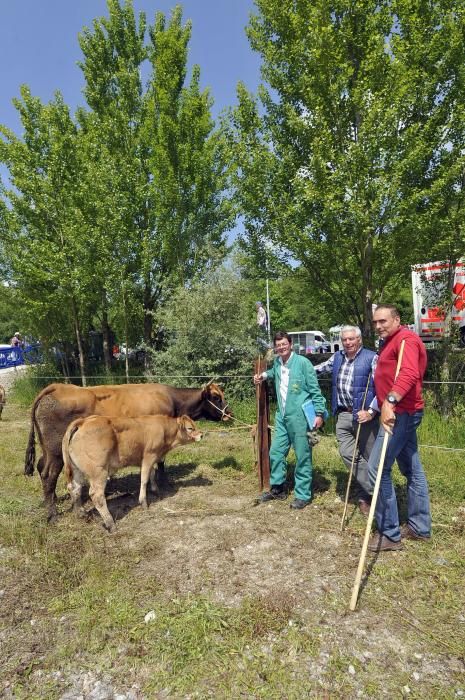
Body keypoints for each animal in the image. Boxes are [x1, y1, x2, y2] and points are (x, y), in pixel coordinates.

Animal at [23, 382, 230, 520]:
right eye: (216, 397)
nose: (230, 414)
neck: (172, 400)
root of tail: (57, 387)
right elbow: (159, 462)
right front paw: (163, 484)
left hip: (49, 451)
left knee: (42, 468)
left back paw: (54, 500)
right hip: (56, 452)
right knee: (48, 474)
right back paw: (52, 515)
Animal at [62, 412, 200, 532]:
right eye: (190, 428)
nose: (201, 434)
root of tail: (84, 421)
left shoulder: (150, 458)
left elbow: (152, 474)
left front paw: (156, 491)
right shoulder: (149, 455)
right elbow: (144, 479)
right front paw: (143, 502)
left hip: (76, 470)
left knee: (75, 488)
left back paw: (81, 513)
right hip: (98, 471)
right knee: (96, 495)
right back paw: (110, 524)